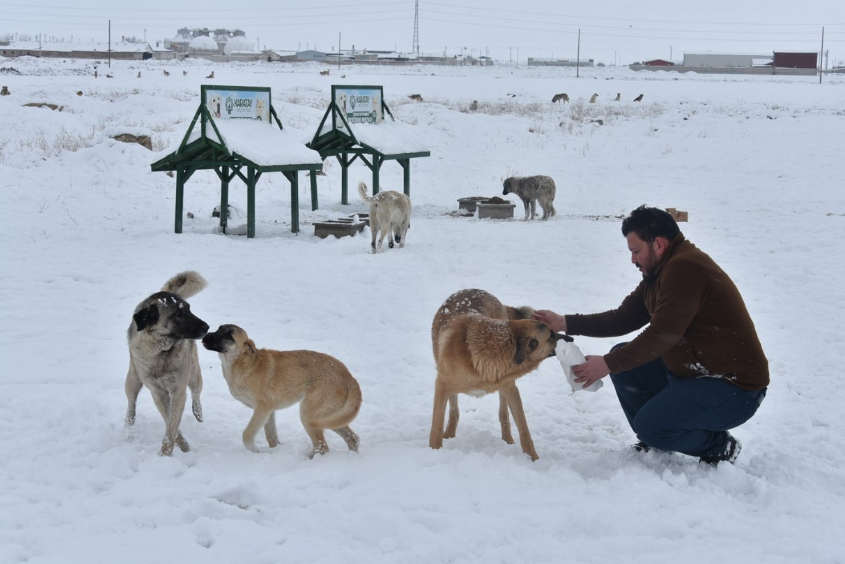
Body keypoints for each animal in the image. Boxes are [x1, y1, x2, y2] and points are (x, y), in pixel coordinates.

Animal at [123, 270, 209, 456]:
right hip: (132, 379)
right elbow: (171, 425)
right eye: (176, 314)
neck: (161, 351)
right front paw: (179, 447)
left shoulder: (178, 391)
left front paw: (166, 454)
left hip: (194, 375)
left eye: (189, 309)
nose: (207, 327)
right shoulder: (158, 393)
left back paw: (199, 419)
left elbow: (171, 428)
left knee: (196, 395)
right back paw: (127, 431)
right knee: (131, 404)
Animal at [205, 324, 366, 456]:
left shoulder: (262, 409)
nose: (205, 335)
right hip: (328, 417)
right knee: (353, 439)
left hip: (309, 416)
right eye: (219, 328)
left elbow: (247, 435)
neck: (241, 363)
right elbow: (272, 438)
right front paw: (274, 452)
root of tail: (349, 377)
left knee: (323, 447)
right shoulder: (268, 413)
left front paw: (255, 451)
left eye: (229, 337)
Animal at [428, 288, 568, 460]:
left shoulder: (511, 388)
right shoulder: (441, 386)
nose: (571, 338)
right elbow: (436, 427)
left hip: (504, 388)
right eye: (551, 336)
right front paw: (434, 452)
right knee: (454, 410)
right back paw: (449, 435)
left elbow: (524, 430)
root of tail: (478, 290)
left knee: (503, 413)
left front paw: (534, 460)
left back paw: (508, 440)